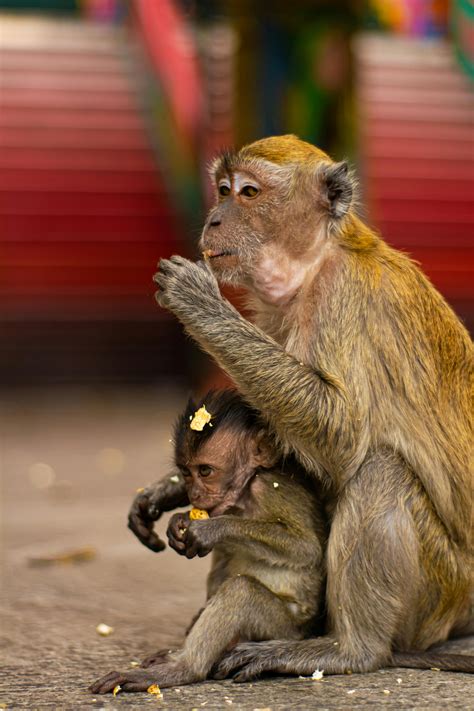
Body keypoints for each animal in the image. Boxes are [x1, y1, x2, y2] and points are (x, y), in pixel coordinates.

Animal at [90, 390, 326, 696]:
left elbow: (306, 549)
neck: (245, 493)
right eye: (186, 472)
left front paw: (210, 529)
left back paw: (182, 668)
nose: (194, 494)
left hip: (283, 629)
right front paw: (172, 515)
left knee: (241, 590)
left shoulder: (270, 489)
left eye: (205, 471)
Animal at [131, 138, 472, 680]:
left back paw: (352, 650)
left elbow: (339, 431)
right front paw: (167, 491)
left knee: (380, 469)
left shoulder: (341, 295)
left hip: (437, 599)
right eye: (222, 190)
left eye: (248, 193)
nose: (214, 219)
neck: (316, 259)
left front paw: (198, 301)